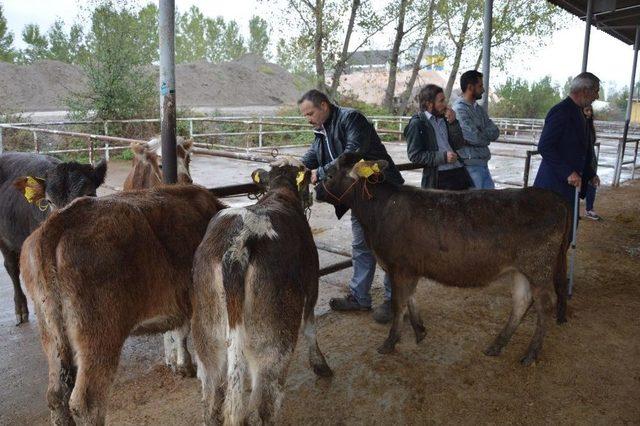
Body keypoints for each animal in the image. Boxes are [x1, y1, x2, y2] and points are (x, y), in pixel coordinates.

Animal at [18, 185, 225, 424]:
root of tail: (60, 220)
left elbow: (178, 330)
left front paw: (180, 364)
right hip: (99, 334)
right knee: (86, 402)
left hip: (50, 334)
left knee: (55, 395)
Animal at [190, 158, 330, 424]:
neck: (281, 192)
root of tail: (237, 245)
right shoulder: (312, 283)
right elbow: (310, 326)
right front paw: (320, 364)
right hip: (274, 343)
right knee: (267, 403)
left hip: (207, 337)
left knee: (211, 400)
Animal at [316, 153, 568, 366]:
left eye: (329, 174)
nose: (316, 190)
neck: (379, 211)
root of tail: (553, 197)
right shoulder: (410, 268)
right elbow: (411, 299)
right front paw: (420, 332)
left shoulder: (400, 267)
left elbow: (399, 304)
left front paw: (389, 342)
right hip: (520, 269)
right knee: (521, 302)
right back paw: (497, 345)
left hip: (539, 266)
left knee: (545, 304)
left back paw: (531, 354)